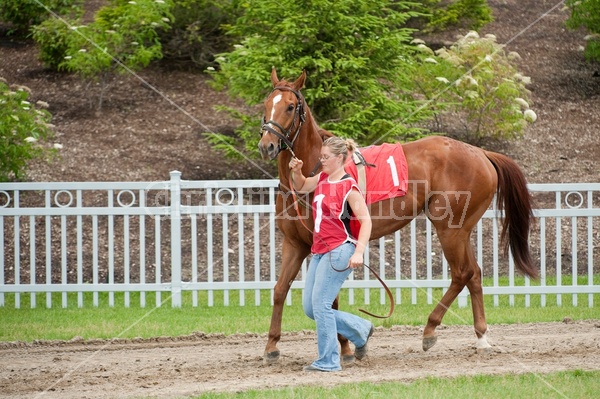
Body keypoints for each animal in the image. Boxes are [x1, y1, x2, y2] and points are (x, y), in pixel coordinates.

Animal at [260, 69, 536, 366]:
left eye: (290, 106)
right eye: (266, 103)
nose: (267, 145)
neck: (312, 174)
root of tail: (481, 153)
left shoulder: (329, 247)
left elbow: (329, 300)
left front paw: (344, 348)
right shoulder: (295, 243)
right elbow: (280, 290)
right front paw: (271, 346)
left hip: (450, 229)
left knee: (462, 273)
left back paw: (430, 329)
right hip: (462, 230)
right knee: (473, 274)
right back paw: (481, 336)